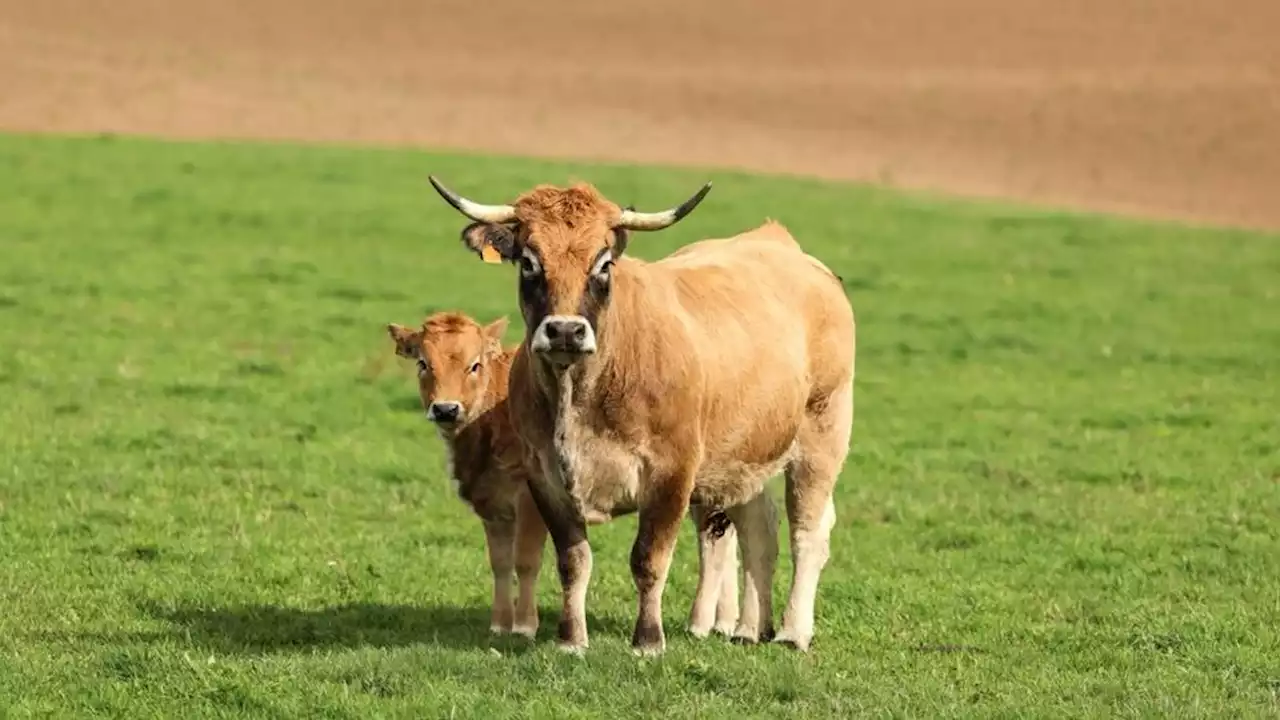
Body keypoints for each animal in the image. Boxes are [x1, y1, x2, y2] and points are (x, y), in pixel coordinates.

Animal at [424, 176, 855, 653]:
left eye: (604, 264)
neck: (581, 391)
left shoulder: (671, 473)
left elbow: (649, 558)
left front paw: (648, 641)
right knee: (759, 526)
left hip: (822, 434)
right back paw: (748, 628)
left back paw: (793, 631)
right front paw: (571, 640)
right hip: (744, 453)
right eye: (530, 263)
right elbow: (573, 561)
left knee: (808, 532)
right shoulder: (545, 478)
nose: (565, 331)